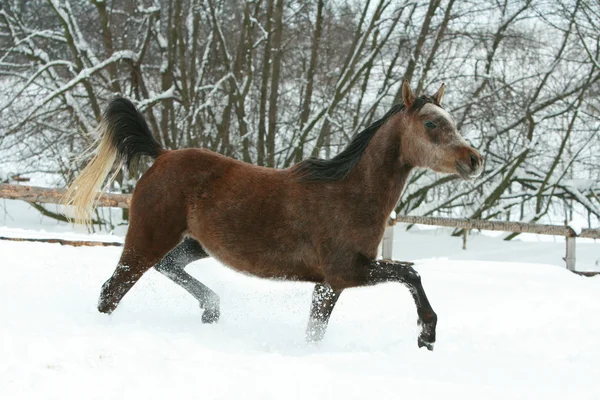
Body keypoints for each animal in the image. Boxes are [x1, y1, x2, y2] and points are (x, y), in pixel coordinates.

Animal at [64, 79, 482, 348]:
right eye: (432, 123)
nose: (474, 159)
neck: (350, 192)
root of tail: (162, 154)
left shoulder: (327, 285)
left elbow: (315, 332)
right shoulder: (346, 272)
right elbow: (411, 273)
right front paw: (426, 334)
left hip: (196, 244)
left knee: (167, 266)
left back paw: (211, 310)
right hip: (146, 237)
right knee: (111, 291)